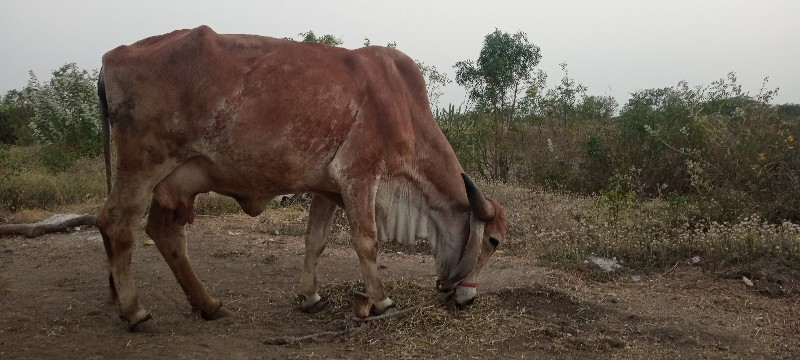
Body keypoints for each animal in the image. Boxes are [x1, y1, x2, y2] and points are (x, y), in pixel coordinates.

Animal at [95, 26, 506, 332]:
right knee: (117, 223)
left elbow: (315, 241)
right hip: (143, 165)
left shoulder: (326, 188)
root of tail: (112, 55)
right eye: (494, 241)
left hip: (177, 182)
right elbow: (367, 242)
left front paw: (310, 297)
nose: (468, 299)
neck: (402, 105)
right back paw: (136, 312)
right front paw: (382, 301)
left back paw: (208, 305)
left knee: (166, 234)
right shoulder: (359, 176)